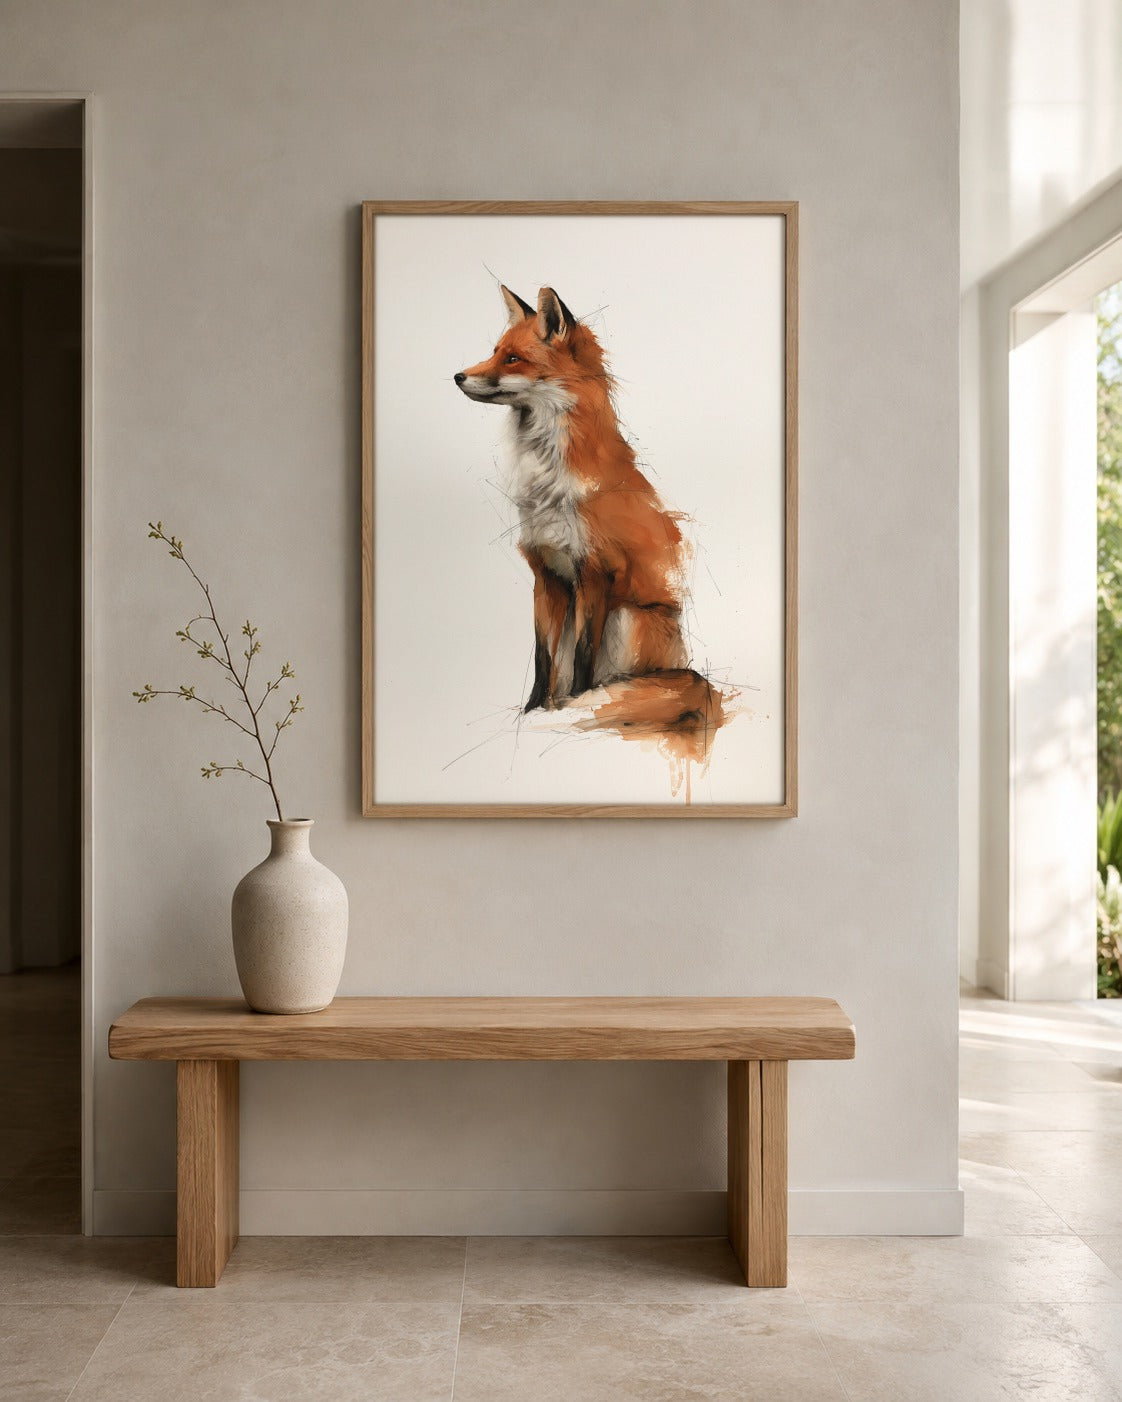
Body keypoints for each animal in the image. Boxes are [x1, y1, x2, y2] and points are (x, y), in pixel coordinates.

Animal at [455, 283, 728, 752]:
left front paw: (568, 711)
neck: (548, 479)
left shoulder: (595, 572)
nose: (457, 376)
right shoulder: (546, 574)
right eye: (494, 352)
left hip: (628, 617)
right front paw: (532, 712)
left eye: (513, 359)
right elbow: (543, 663)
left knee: (618, 680)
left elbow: (584, 662)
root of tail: (687, 672)